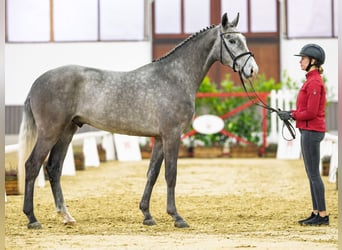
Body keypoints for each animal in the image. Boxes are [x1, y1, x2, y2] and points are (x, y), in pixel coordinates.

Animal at [18, 12, 256, 229]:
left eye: (243, 38)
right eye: (232, 40)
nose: (252, 69)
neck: (175, 77)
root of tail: (37, 82)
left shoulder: (159, 138)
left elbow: (152, 173)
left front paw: (147, 215)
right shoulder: (172, 135)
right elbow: (171, 174)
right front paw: (177, 217)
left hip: (67, 130)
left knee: (54, 167)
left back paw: (66, 216)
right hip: (50, 131)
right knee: (33, 165)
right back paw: (32, 218)